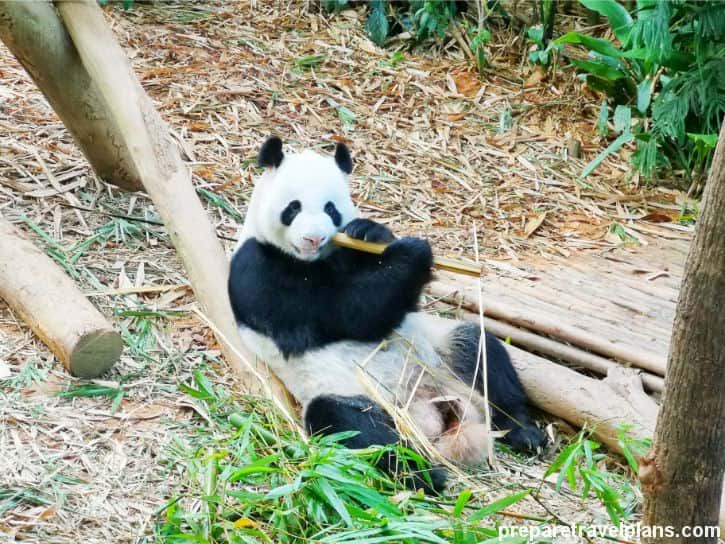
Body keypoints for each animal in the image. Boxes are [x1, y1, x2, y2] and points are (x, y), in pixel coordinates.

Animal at [229, 137, 544, 492]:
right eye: (293, 207)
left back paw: (525, 433)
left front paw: (370, 232)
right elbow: (348, 312)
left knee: (483, 354)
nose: (314, 238)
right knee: (354, 427)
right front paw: (414, 254)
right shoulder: (257, 270)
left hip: (444, 356)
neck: (310, 260)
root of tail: (431, 410)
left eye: (331, 209)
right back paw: (426, 474)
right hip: (347, 391)